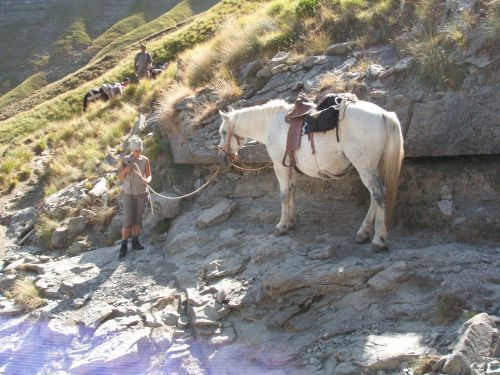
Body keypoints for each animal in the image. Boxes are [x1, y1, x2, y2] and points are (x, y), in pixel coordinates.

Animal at [217, 100, 404, 253]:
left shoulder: (279, 166)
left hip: (365, 167)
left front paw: (281, 226)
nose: (223, 157)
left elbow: (284, 195)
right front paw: (291, 222)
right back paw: (363, 233)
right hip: (373, 167)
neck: (271, 124)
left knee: (378, 194)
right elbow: (291, 192)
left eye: (223, 132)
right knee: (375, 198)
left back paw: (379, 240)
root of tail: (384, 114)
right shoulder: (290, 167)